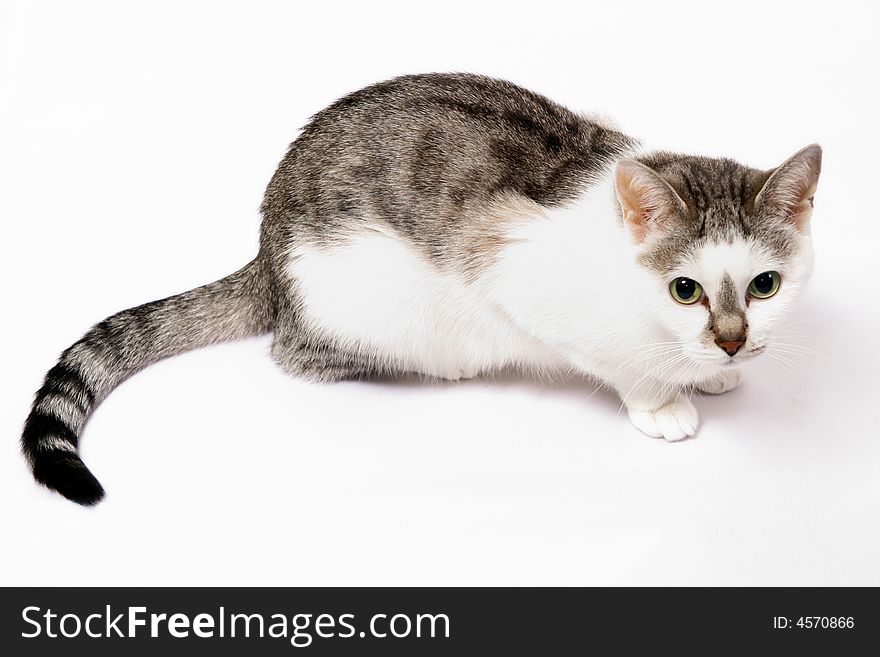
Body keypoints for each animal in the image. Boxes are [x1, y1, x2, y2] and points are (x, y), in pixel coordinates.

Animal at [20, 73, 820, 502]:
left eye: (766, 285)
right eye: (685, 290)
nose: (732, 342)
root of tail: (268, 256)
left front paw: (709, 373)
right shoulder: (516, 275)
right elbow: (621, 363)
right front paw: (663, 399)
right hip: (374, 307)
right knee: (299, 353)